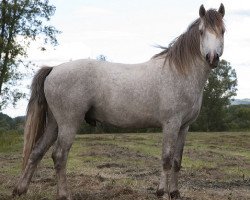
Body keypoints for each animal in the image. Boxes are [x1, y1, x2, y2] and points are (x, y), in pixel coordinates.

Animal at [12, 3, 226, 200]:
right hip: (68, 123)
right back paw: (64, 195)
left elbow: (176, 161)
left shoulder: (184, 127)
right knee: (59, 156)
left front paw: (174, 192)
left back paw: (20, 190)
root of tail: (54, 69)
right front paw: (161, 192)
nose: (212, 58)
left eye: (223, 30)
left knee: (36, 152)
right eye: (201, 32)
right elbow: (166, 159)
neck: (180, 73)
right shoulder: (171, 124)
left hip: (54, 124)